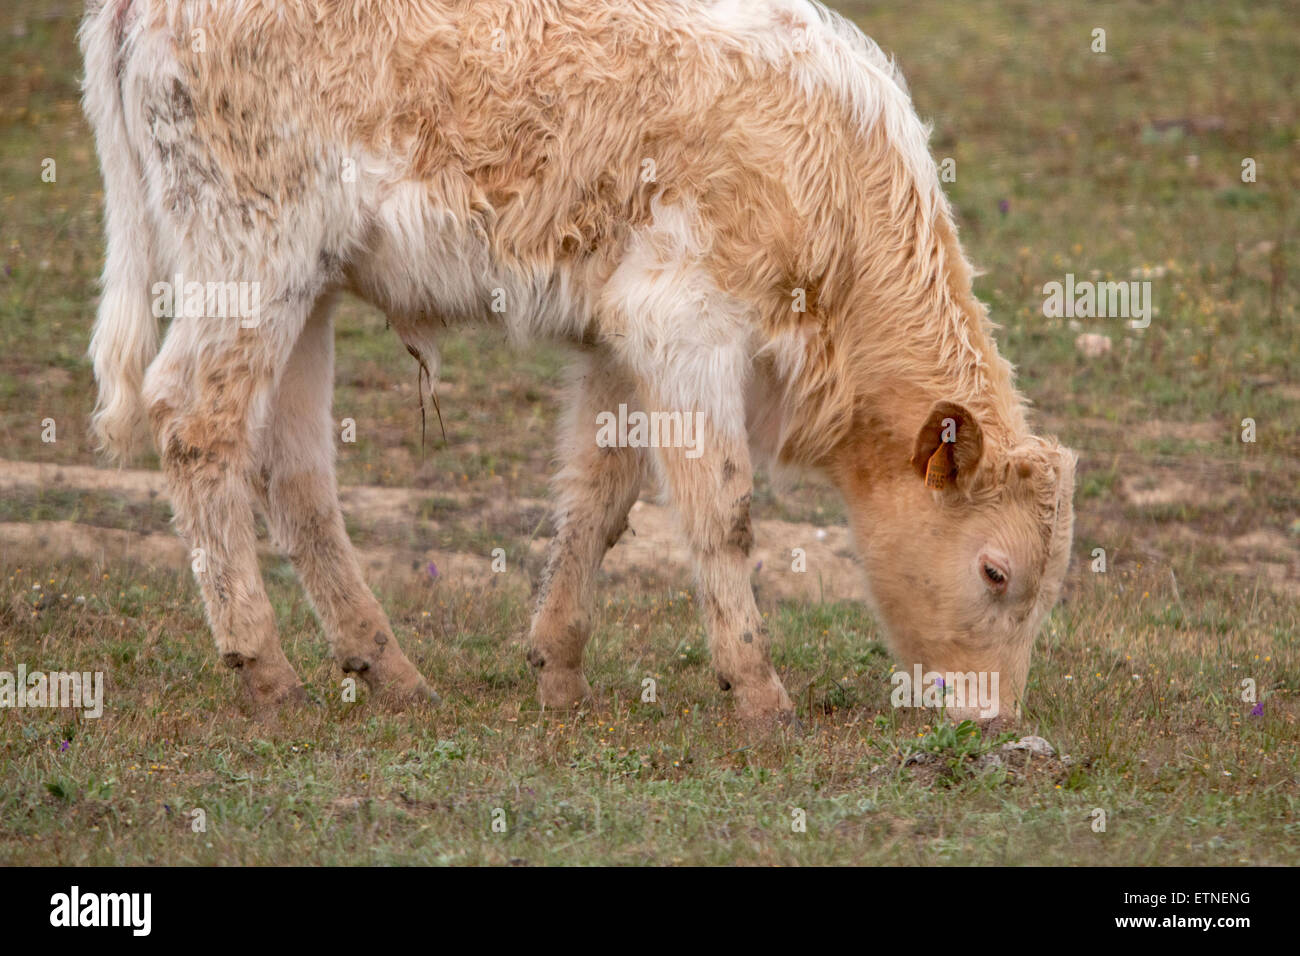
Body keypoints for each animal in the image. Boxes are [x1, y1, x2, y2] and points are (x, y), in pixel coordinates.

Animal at [80, 0, 1075, 723]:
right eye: (996, 572)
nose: (993, 718)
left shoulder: (620, 342)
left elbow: (599, 502)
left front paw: (557, 669)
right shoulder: (686, 323)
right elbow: (722, 510)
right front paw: (758, 693)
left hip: (309, 287)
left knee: (298, 477)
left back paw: (388, 669)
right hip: (248, 258)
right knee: (197, 425)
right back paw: (266, 669)